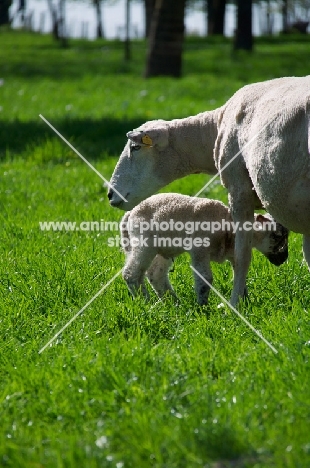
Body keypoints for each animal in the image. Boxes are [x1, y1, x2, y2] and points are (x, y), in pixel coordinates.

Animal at [120, 193, 288, 306]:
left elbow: (240, 276)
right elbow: (205, 279)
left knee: (155, 274)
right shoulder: (199, 249)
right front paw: (203, 308)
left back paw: (173, 303)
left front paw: (244, 302)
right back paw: (145, 302)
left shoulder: (233, 253)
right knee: (132, 273)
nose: (284, 258)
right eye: (277, 236)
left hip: (163, 248)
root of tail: (130, 214)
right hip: (143, 242)